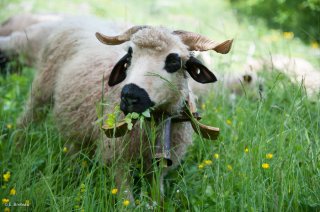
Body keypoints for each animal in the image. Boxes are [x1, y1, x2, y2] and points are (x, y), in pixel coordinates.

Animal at [1, 15, 234, 199]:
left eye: (174, 61)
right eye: (129, 55)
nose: (130, 95)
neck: (154, 123)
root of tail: (78, 17)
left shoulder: (159, 168)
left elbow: (157, 196)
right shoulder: (116, 158)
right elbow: (126, 200)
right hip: (42, 89)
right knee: (26, 121)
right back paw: (18, 149)